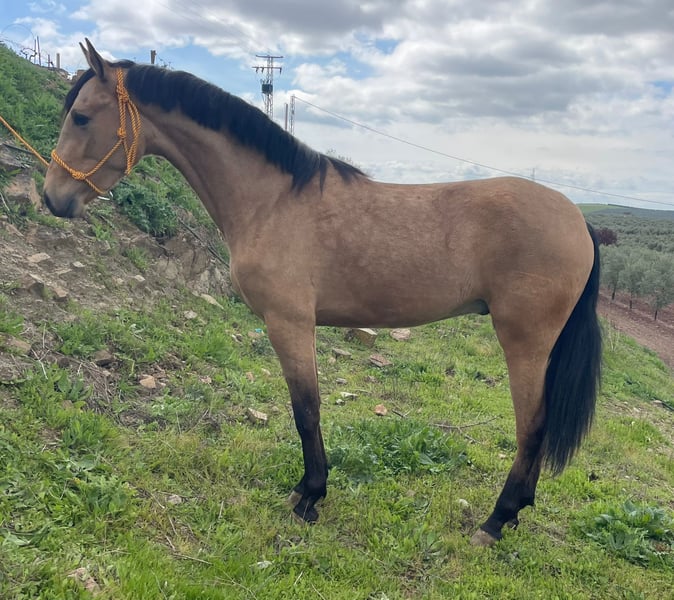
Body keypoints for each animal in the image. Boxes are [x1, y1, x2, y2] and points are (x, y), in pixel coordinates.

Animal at [43, 39, 602, 547]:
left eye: (83, 117)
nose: (52, 198)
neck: (272, 200)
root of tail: (580, 222)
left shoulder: (289, 323)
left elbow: (305, 410)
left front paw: (309, 496)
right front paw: (309, 490)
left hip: (524, 341)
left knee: (532, 426)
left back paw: (495, 521)